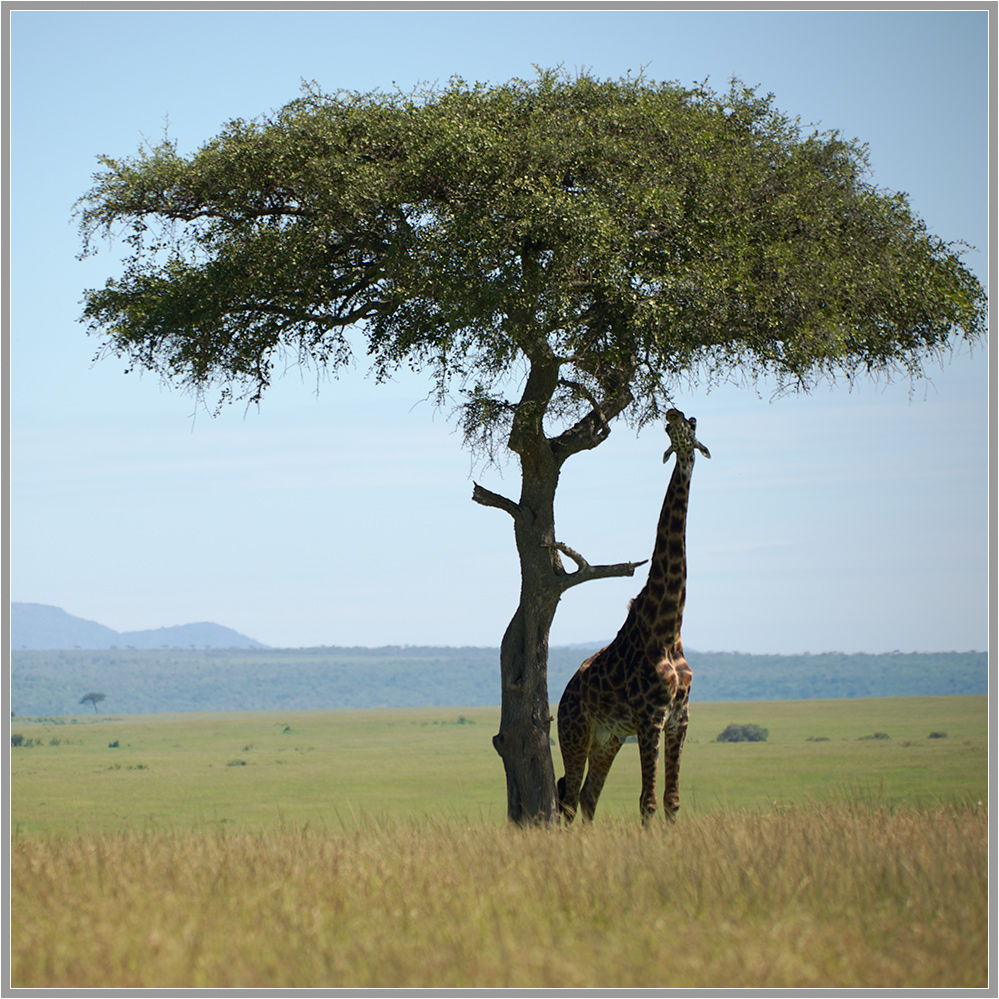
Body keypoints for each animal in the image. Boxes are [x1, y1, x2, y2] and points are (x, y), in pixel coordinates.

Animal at [556, 408, 712, 828]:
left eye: (692, 424)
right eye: (675, 424)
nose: (671, 414)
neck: (668, 626)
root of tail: (563, 696)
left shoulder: (679, 718)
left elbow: (671, 800)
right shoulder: (649, 716)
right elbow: (648, 800)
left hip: (607, 738)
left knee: (587, 796)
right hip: (574, 731)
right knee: (568, 798)